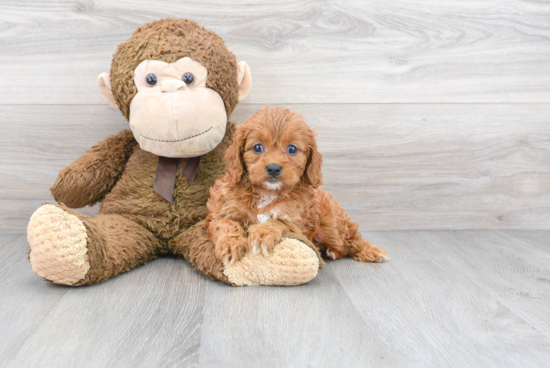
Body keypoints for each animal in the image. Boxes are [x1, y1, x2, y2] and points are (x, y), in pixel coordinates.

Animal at [205, 108, 390, 266]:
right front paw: (230, 245)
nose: (273, 168)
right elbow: (226, 224)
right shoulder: (221, 212)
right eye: (257, 147)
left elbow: (279, 221)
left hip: (332, 224)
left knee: (350, 239)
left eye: (292, 149)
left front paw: (263, 233)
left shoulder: (299, 223)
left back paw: (368, 250)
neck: (267, 193)